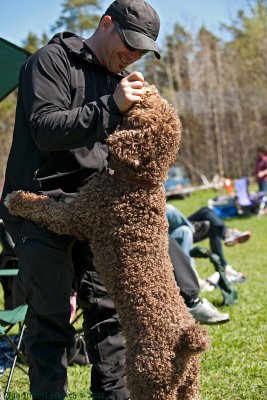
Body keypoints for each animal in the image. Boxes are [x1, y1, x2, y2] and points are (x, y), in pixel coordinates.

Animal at [4, 85, 209, 400]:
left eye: (146, 107)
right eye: (158, 102)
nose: (145, 86)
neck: (139, 182)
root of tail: (184, 344)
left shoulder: (77, 215)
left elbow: (45, 208)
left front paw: (17, 199)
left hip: (147, 380)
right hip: (190, 387)